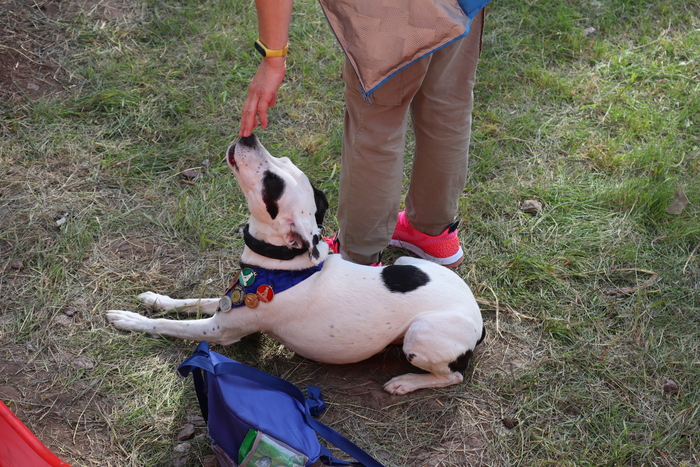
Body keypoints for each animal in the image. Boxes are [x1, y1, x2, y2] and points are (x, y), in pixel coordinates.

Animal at [106, 135, 485, 395]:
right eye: (283, 160)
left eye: (272, 184)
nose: (249, 136)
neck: (281, 265)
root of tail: (478, 320)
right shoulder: (229, 300)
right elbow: (188, 301)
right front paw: (156, 299)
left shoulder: (221, 330)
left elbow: (167, 325)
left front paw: (130, 320)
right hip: (408, 264)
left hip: (420, 337)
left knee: (452, 375)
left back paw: (405, 382)